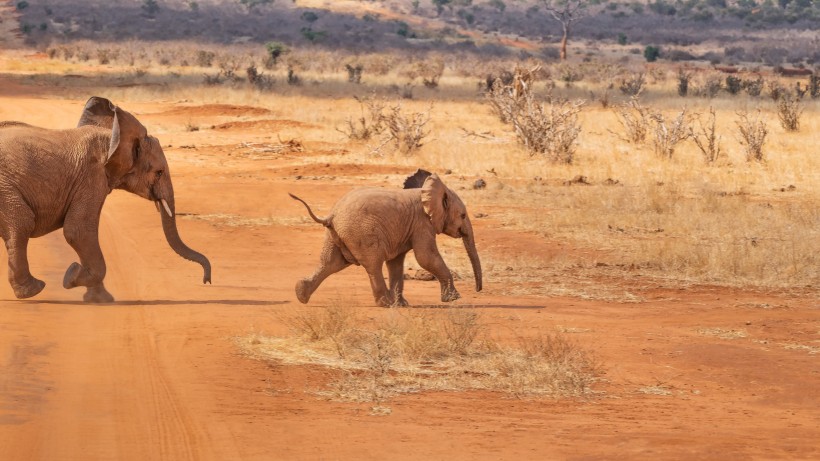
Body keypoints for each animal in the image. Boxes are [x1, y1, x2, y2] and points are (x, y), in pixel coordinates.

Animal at [0, 96, 211, 302]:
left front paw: (99, 298)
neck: (112, 138)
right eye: (159, 173)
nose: (206, 281)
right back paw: (33, 290)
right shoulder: (91, 176)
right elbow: (78, 230)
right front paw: (71, 276)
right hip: (5, 188)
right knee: (23, 222)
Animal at [288, 169, 480, 306]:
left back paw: (301, 294)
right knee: (373, 265)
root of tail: (331, 216)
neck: (427, 191)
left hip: (335, 235)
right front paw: (454, 299)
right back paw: (385, 303)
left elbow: (396, 263)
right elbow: (426, 257)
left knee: (330, 263)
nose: (478, 290)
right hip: (362, 233)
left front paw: (402, 305)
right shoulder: (422, 224)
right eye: (463, 215)